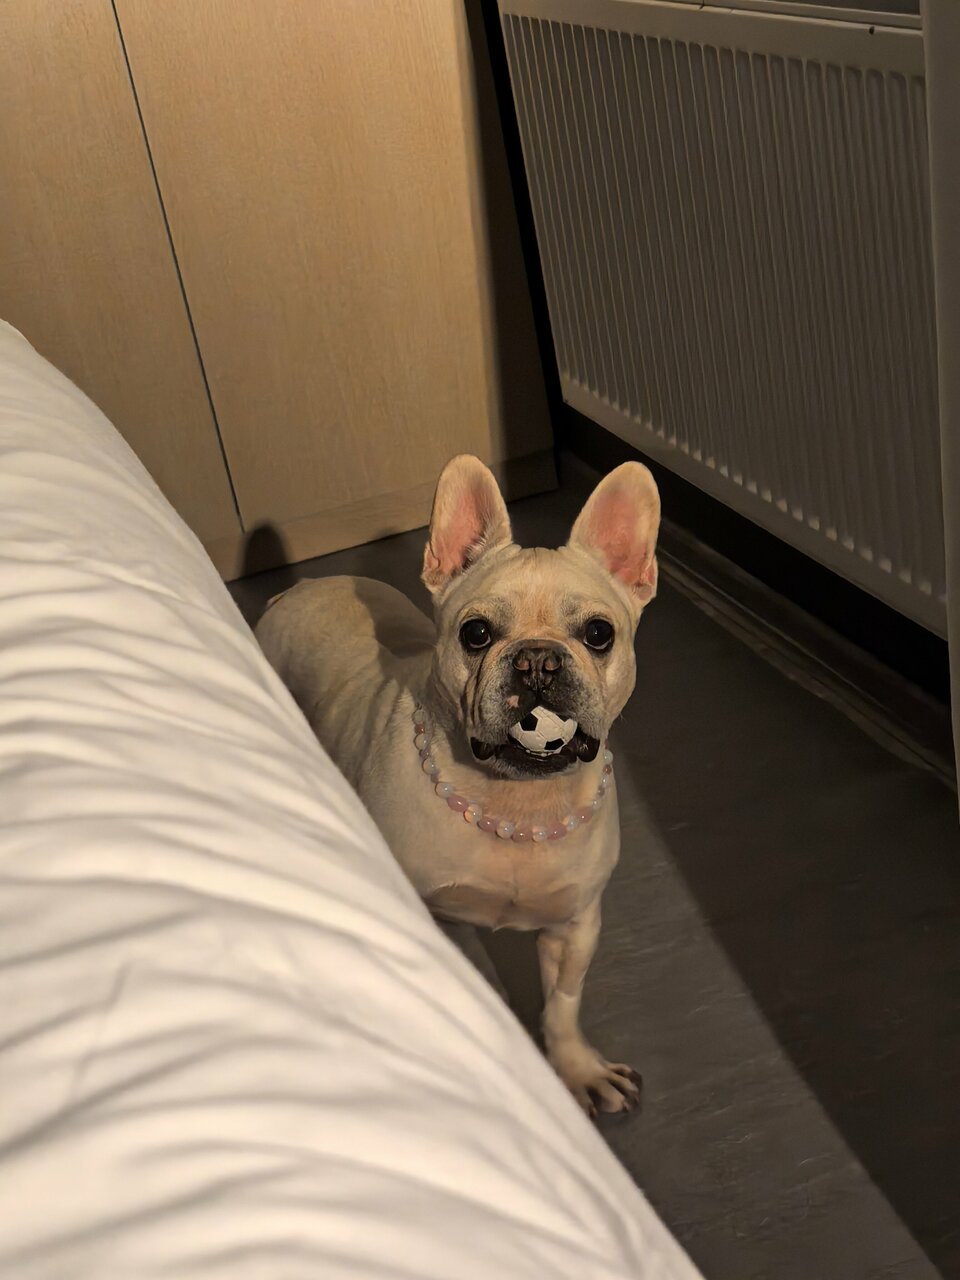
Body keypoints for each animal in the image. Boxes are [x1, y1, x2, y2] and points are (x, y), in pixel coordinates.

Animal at [256, 455, 660, 1114]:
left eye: (599, 634)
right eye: (476, 634)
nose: (538, 660)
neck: (516, 802)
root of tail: (297, 587)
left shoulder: (574, 926)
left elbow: (563, 1005)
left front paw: (574, 1068)